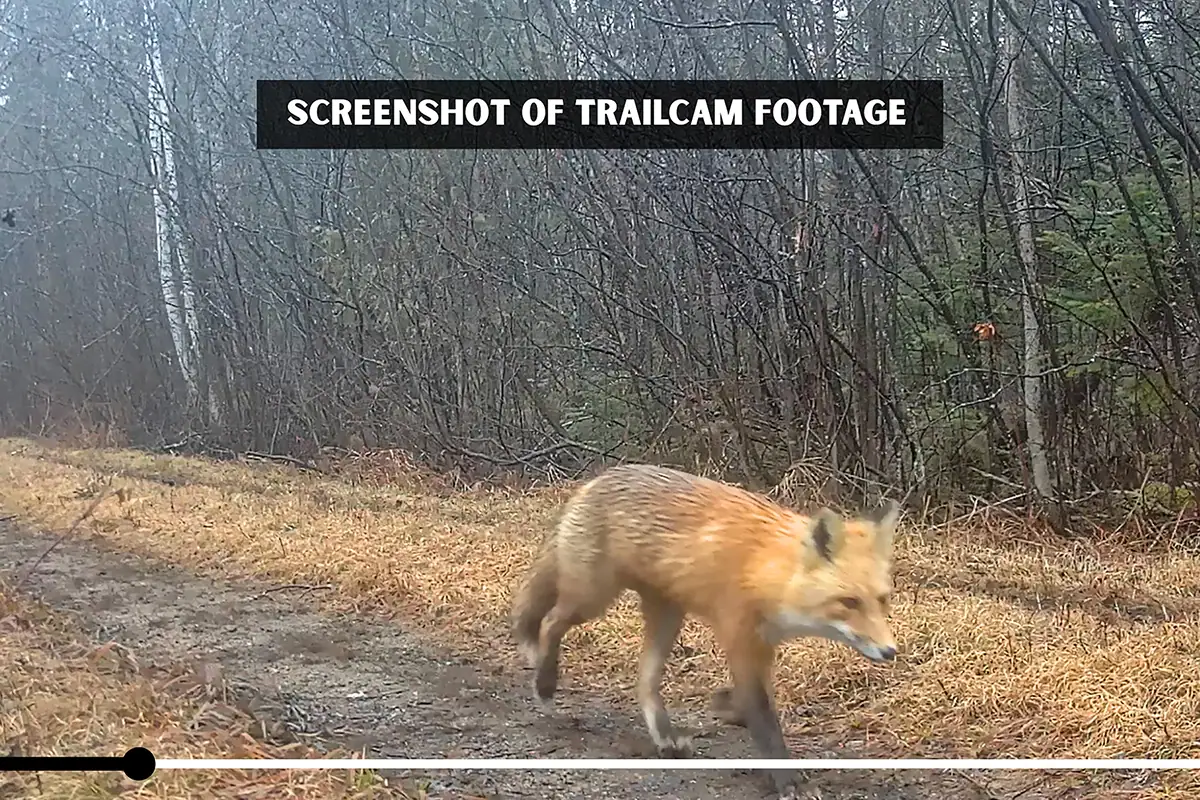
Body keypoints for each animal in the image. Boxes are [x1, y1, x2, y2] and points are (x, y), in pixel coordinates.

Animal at [510, 463, 903, 799]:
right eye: (849, 602)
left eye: (883, 600)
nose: (890, 652)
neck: (767, 574)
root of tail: (597, 479)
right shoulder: (741, 640)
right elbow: (766, 722)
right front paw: (789, 781)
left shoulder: (764, 646)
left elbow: (751, 705)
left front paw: (726, 705)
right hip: (593, 598)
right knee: (550, 623)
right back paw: (545, 684)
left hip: (667, 617)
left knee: (644, 682)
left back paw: (665, 738)